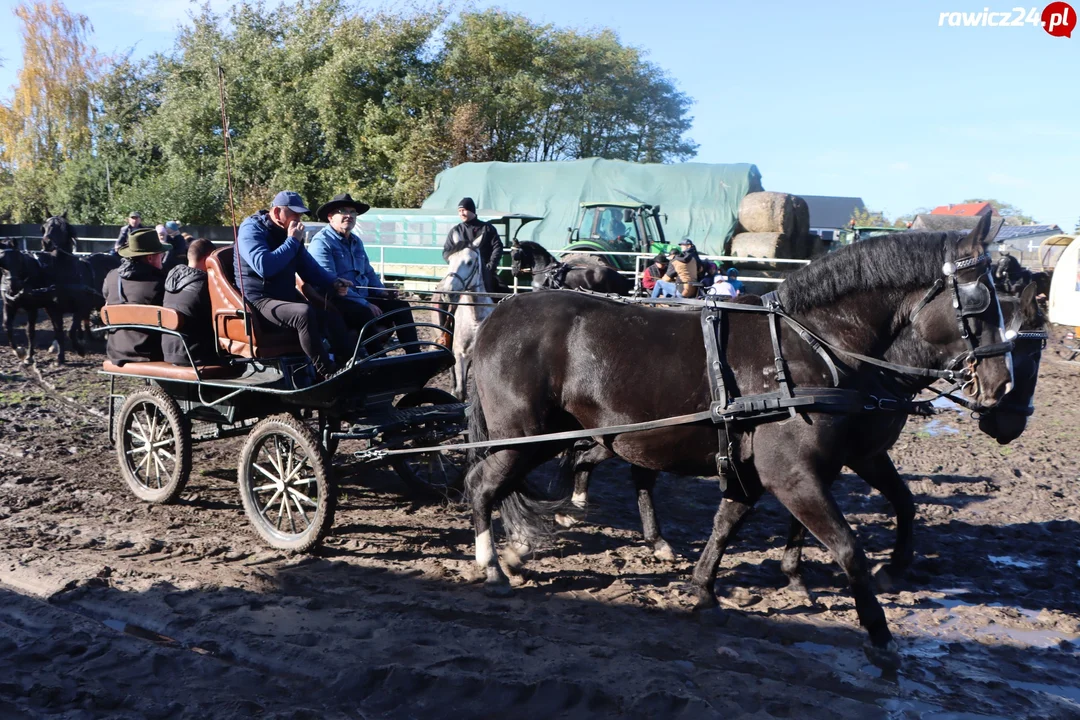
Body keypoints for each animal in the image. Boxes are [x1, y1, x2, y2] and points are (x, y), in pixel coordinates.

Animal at [434, 249, 494, 403]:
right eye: (449, 260)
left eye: (469, 262)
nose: (448, 292)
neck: (475, 319)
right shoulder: (460, 354)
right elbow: (461, 391)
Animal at [464, 215, 1010, 669]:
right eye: (979, 305)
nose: (1001, 387)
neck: (812, 348)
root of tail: (499, 316)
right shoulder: (792, 474)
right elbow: (847, 548)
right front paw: (879, 635)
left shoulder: (793, 465)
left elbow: (729, 525)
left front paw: (705, 590)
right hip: (525, 436)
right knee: (483, 486)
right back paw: (493, 567)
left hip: (553, 436)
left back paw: (519, 551)